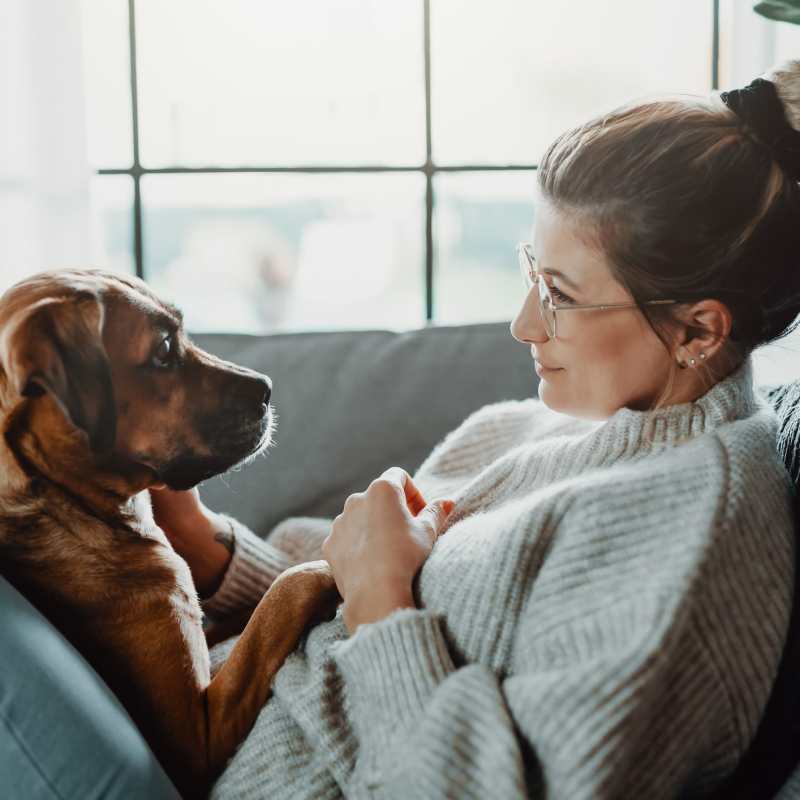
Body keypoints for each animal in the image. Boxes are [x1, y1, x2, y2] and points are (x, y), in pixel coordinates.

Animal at [0, 270, 340, 800]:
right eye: (162, 350)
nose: (268, 388)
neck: (67, 505)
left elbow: (249, 614)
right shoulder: (198, 734)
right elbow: (283, 595)